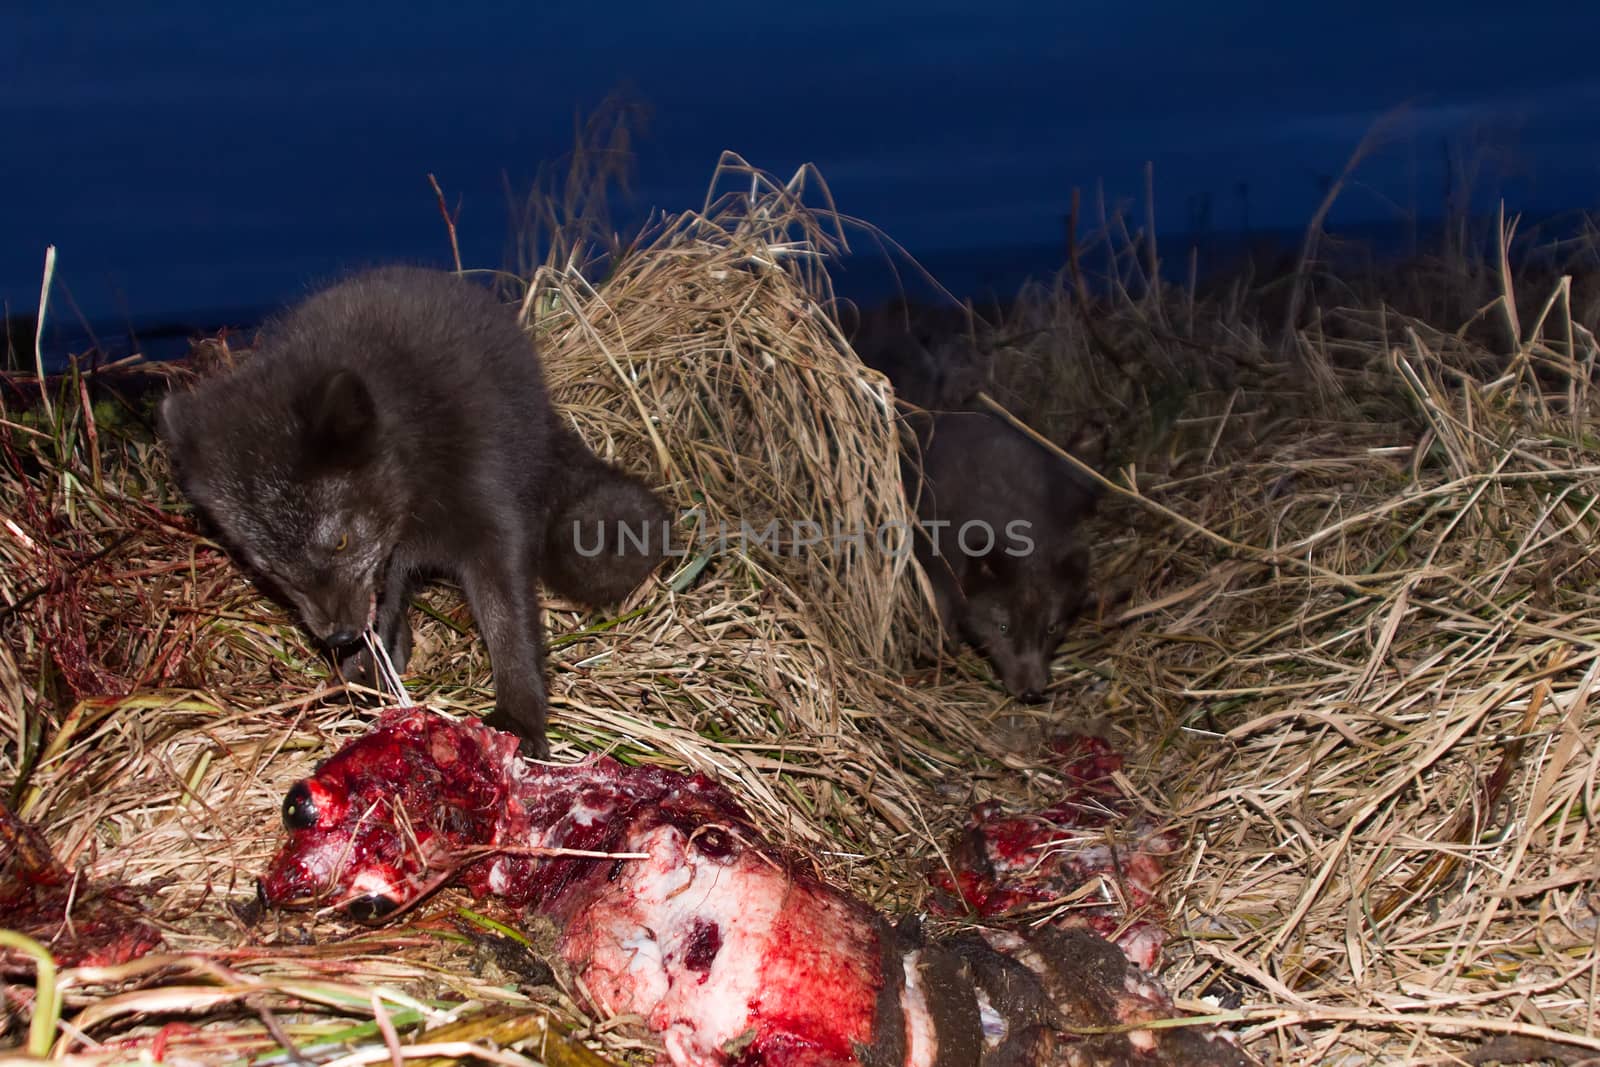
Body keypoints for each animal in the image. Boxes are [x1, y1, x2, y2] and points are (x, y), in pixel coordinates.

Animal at [157, 265, 668, 758]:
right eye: (269, 568)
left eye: (340, 541)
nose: (339, 638)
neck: (414, 455)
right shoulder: (390, 565)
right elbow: (384, 613)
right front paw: (368, 675)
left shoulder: (493, 528)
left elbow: (509, 624)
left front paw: (519, 721)